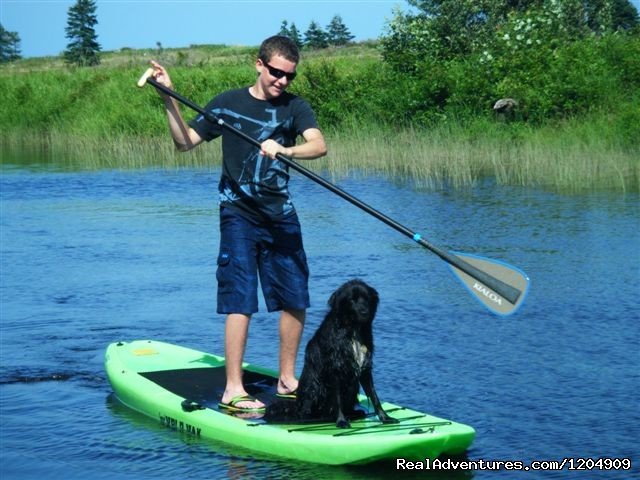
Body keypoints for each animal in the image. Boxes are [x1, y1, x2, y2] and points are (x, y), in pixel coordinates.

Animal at [264, 278, 396, 428]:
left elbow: (374, 395)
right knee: (308, 412)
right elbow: (337, 398)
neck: (352, 329)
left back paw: (354, 413)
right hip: (315, 387)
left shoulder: (365, 367)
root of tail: (297, 406)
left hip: (352, 387)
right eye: (352, 299)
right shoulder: (335, 368)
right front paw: (341, 420)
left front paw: (385, 417)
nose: (364, 312)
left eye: (367, 298)